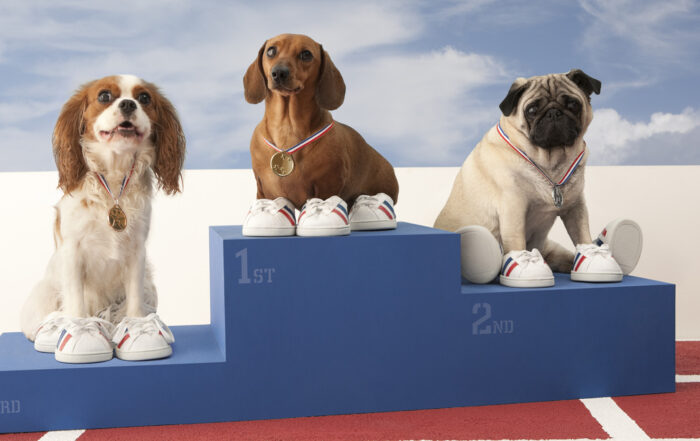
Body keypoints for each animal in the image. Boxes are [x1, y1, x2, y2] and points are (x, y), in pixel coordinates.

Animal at [242, 33, 396, 212]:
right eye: (271, 51)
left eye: (306, 54)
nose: (278, 73)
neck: (287, 127)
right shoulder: (263, 189)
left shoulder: (327, 185)